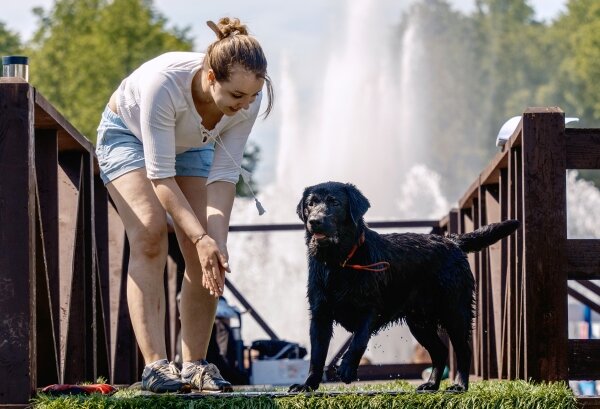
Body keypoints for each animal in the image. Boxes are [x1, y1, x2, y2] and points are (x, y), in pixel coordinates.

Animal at [288, 182, 516, 392]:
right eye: (310, 204)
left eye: (334, 202)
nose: (314, 221)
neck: (340, 263)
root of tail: (453, 242)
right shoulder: (320, 315)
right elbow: (317, 356)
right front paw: (307, 385)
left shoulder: (371, 309)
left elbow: (358, 340)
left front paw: (346, 369)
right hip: (419, 322)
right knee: (440, 351)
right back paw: (431, 384)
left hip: (455, 311)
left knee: (463, 350)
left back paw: (459, 385)